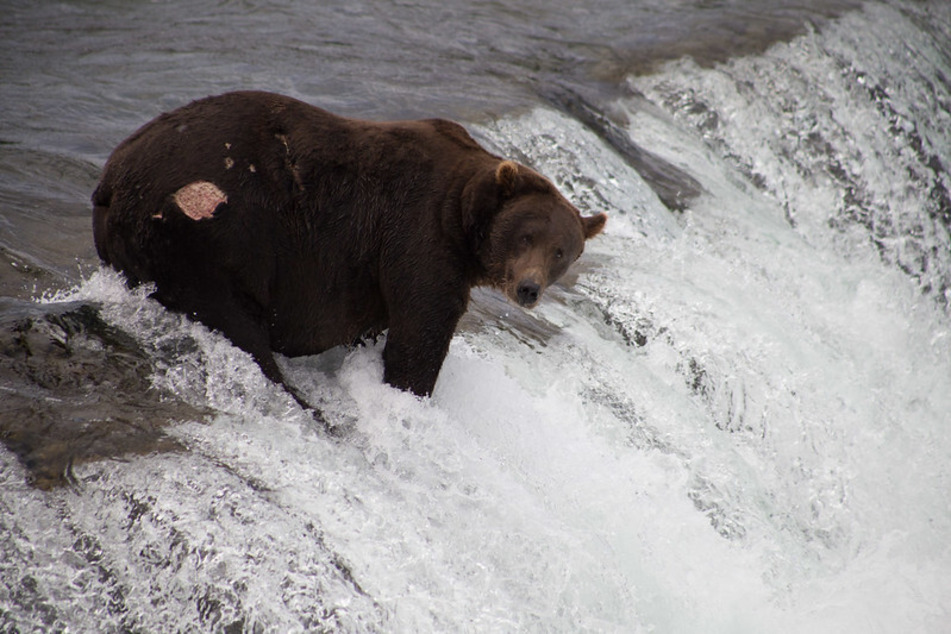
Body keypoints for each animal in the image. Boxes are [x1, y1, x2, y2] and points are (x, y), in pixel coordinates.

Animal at [93, 90, 608, 414]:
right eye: (526, 237)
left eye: (561, 252)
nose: (528, 288)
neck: (461, 216)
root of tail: (111, 179)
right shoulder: (417, 234)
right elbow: (422, 328)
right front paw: (409, 392)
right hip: (208, 234)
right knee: (235, 322)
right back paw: (303, 403)